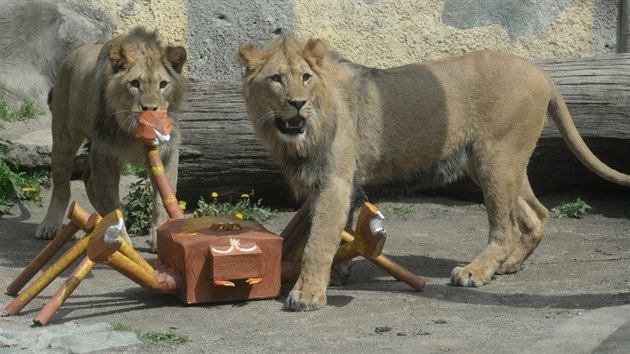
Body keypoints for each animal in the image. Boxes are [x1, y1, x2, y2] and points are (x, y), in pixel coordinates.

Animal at [35, 26, 188, 252]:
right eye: (135, 83)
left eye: (163, 84)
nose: (150, 109)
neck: (131, 131)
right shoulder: (104, 152)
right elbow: (111, 202)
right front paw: (121, 241)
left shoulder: (167, 151)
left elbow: (163, 199)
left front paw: (159, 237)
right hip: (64, 137)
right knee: (62, 185)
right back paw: (50, 225)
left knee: (88, 179)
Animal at [237, 37, 630, 312]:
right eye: (276, 79)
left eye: (305, 77)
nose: (297, 103)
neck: (299, 133)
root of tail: (541, 72)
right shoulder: (332, 184)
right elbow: (328, 231)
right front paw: (337, 272)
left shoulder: (335, 181)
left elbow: (318, 240)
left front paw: (308, 293)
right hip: (496, 162)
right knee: (537, 214)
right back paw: (508, 265)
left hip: (496, 158)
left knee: (506, 228)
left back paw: (477, 271)